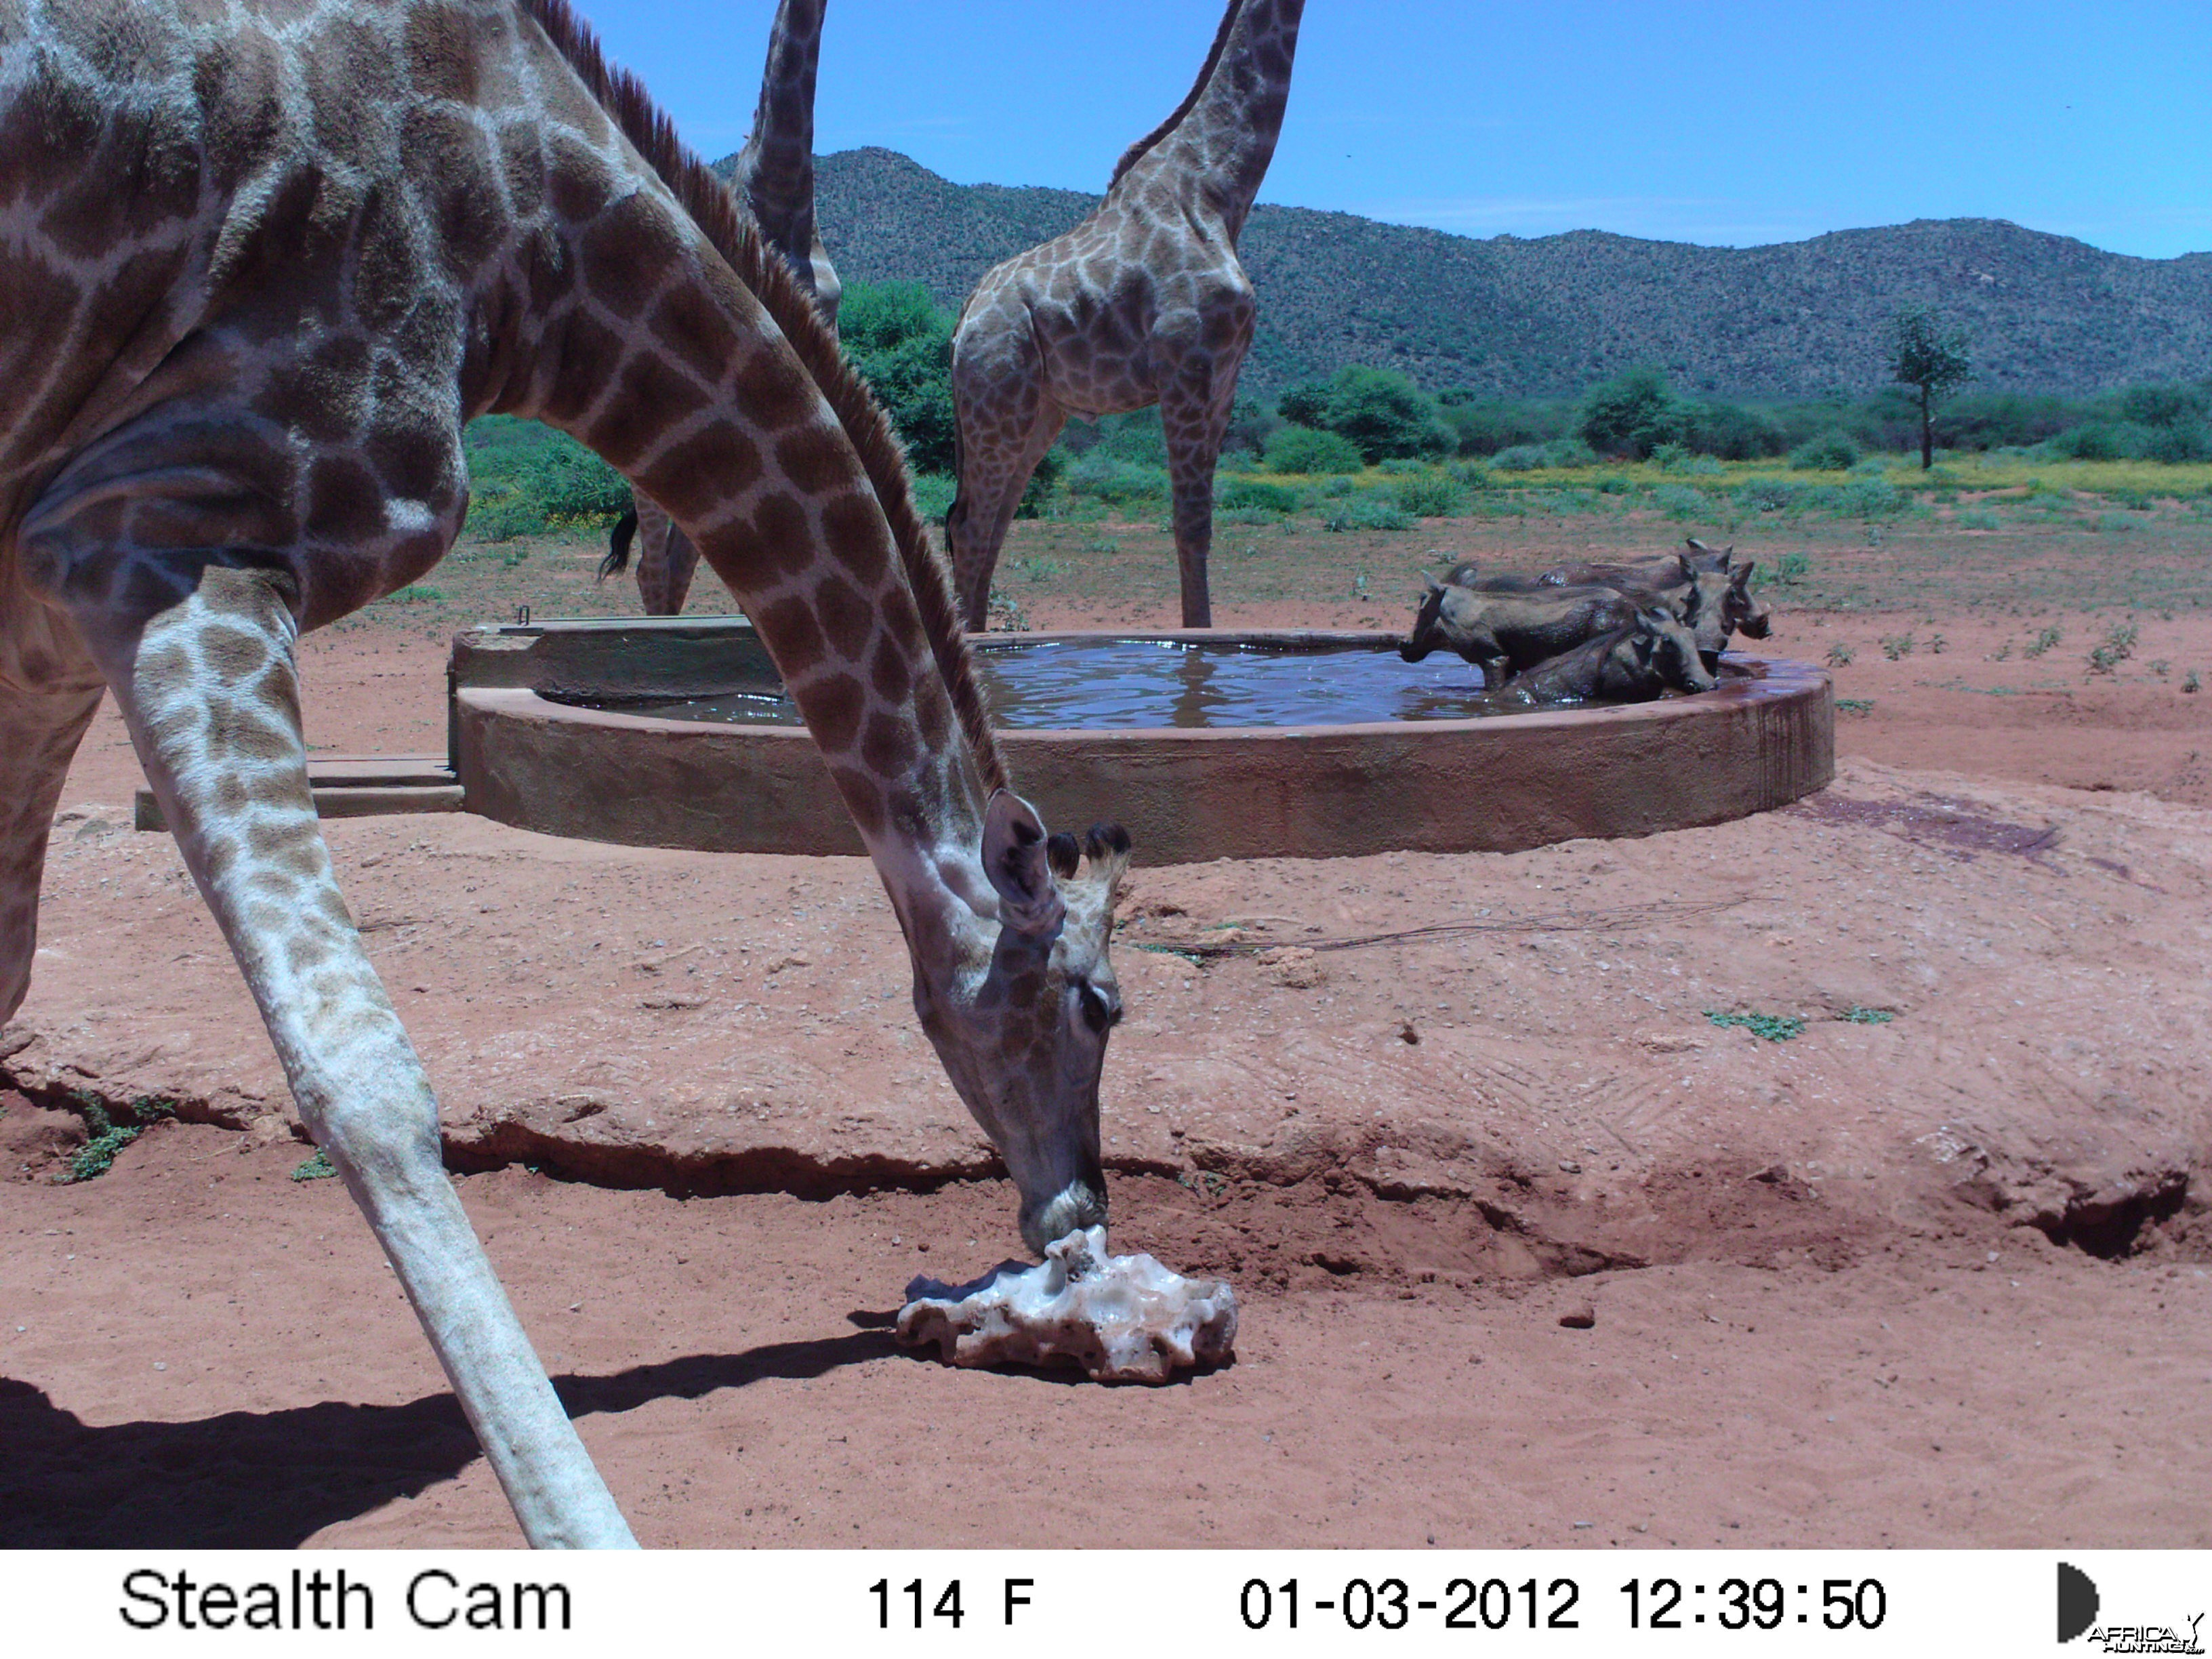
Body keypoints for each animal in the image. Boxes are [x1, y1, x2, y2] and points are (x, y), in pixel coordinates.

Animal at [946, 0, 1300, 632]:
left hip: (1039, 412)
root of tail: (964, 321)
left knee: (991, 525)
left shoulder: (1224, 382)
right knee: (971, 526)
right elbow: (1189, 526)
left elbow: (1204, 524)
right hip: (998, 399)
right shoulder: (1186, 367)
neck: (1218, 189)